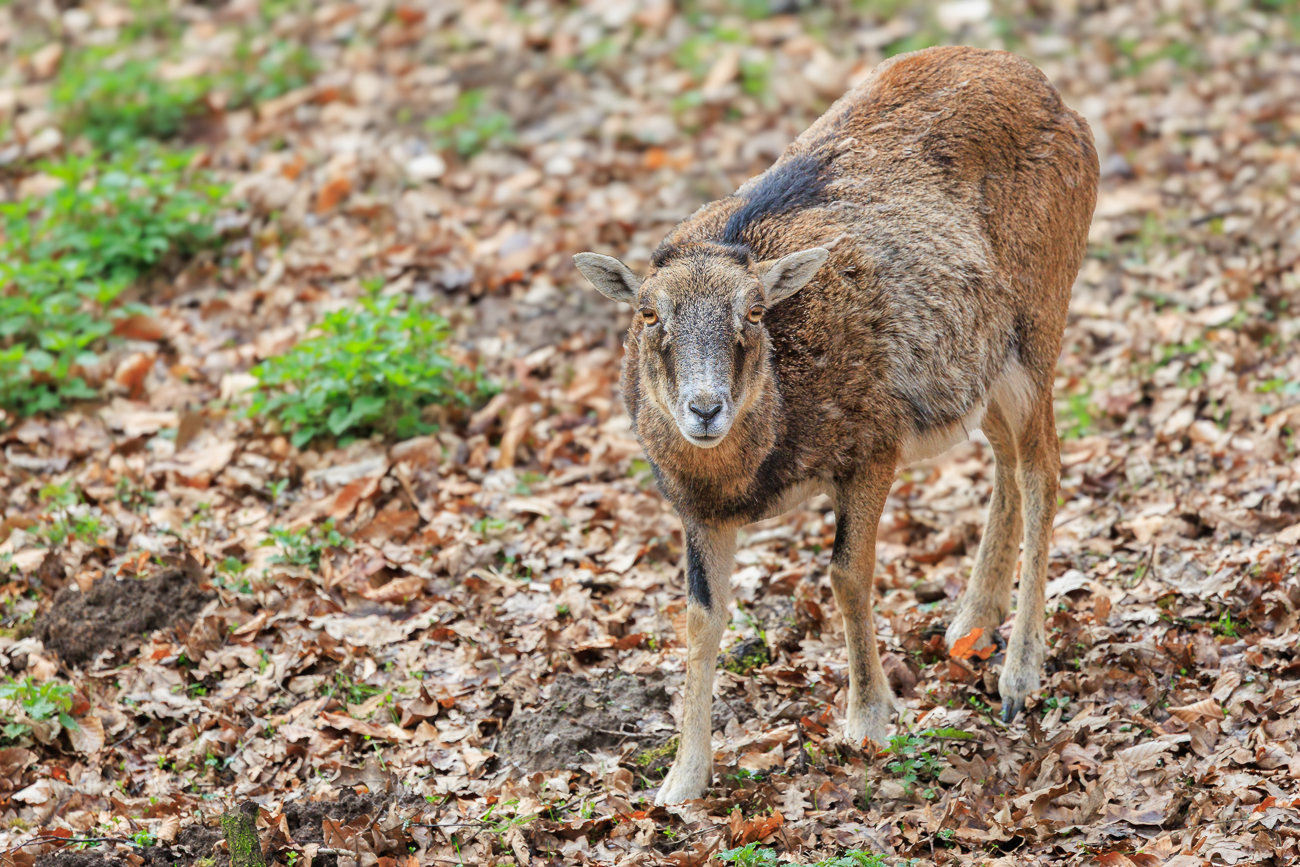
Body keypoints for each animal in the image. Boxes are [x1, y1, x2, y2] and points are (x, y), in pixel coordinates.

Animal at [574, 46, 1098, 805]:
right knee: (1007, 457)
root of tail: (1052, 92)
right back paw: (969, 625)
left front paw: (869, 720)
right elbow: (702, 616)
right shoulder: (696, 509)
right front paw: (680, 783)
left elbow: (848, 573)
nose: (705, 408)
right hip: (983, 369)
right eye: (648, 313)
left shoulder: (873, 447)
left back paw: (1017, 680)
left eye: (754, 311)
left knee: (1043, 469)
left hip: (1038, 330)